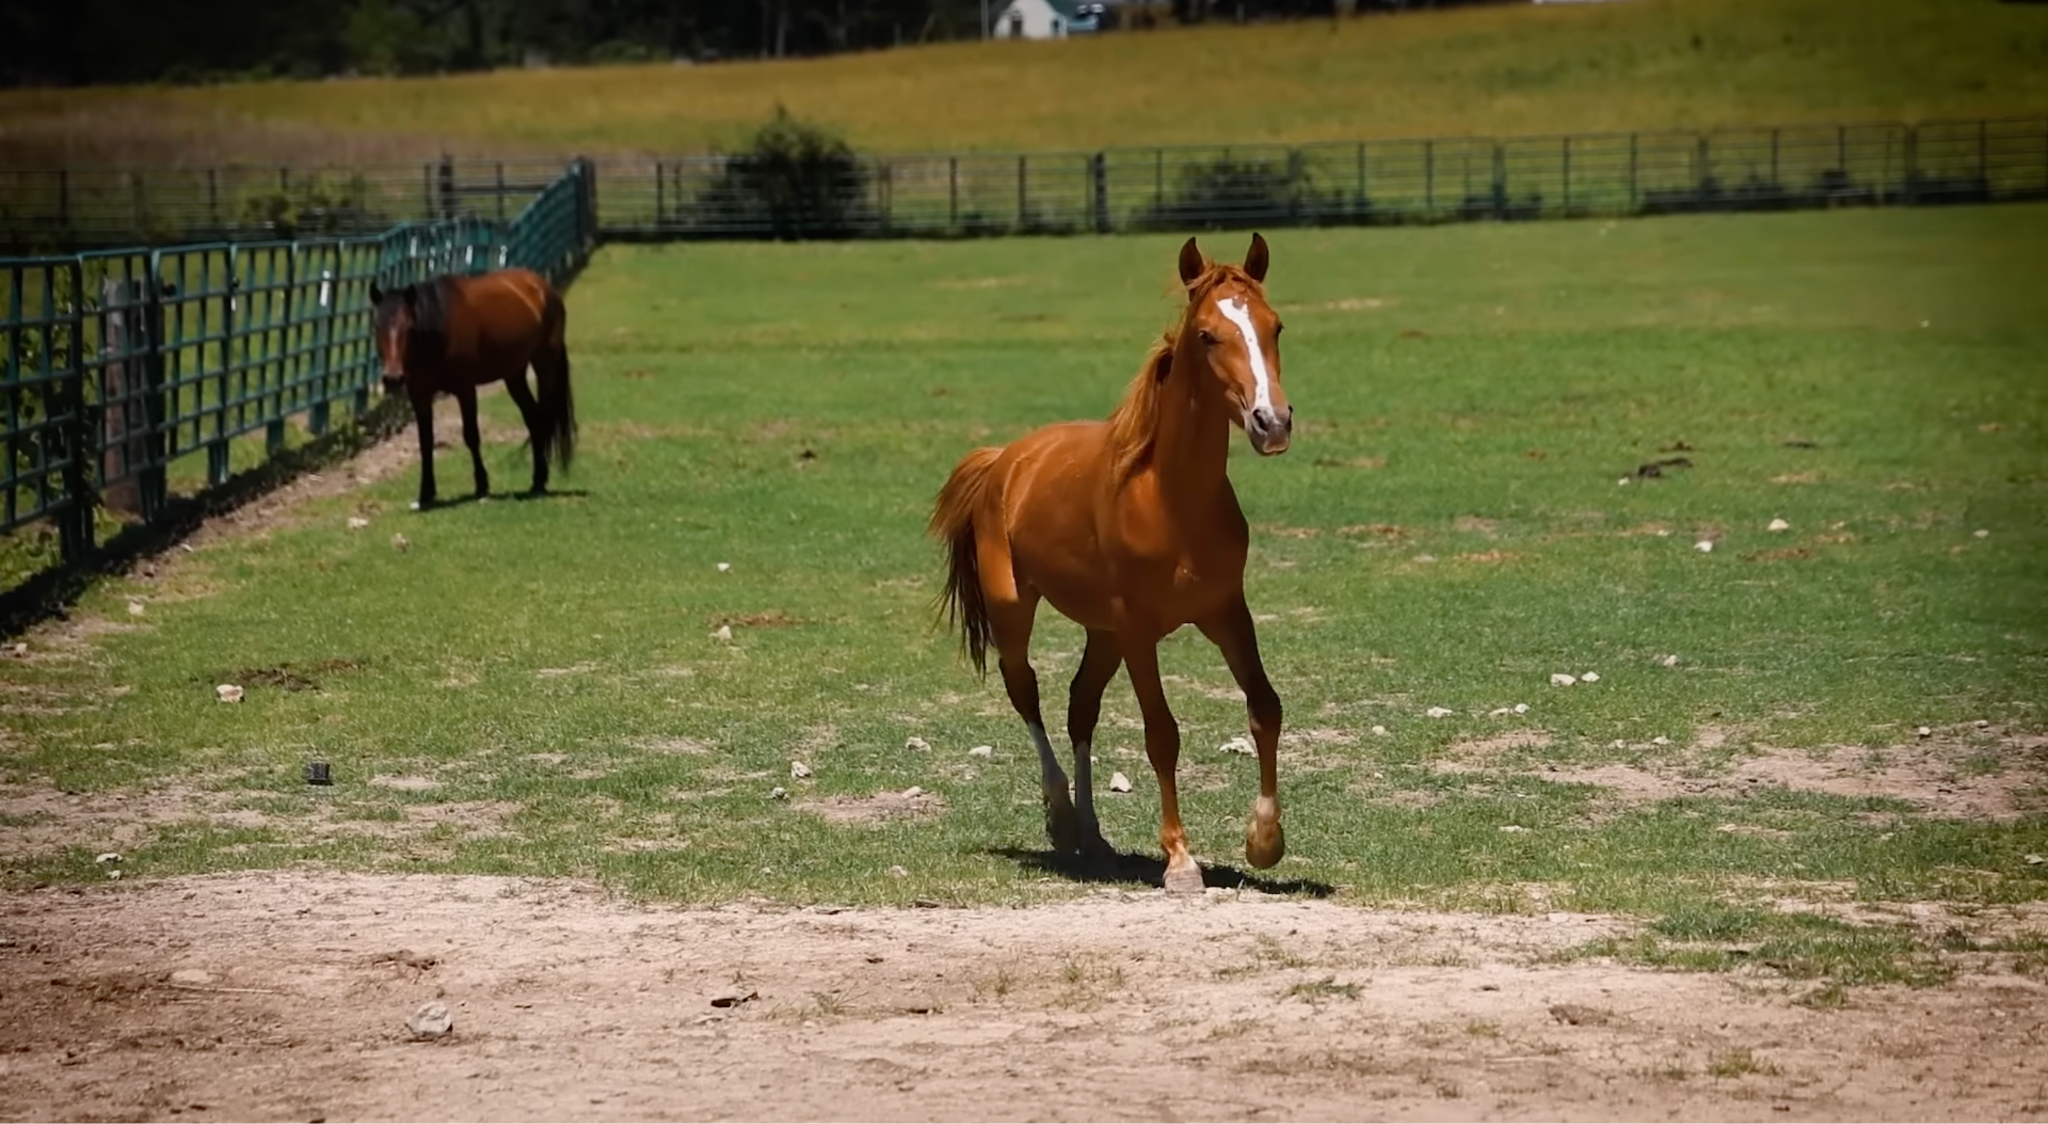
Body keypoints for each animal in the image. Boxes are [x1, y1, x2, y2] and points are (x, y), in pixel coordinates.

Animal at [369, 268, 576, 510]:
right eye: (377, 326)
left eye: (410, 327)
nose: (393, 378)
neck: (439, 331)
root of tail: (543, 287)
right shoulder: (420, 395)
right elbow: (426, 442)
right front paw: (426, 494)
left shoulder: (465, 389)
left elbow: (471, 436)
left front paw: (482, 486)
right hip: (514, 375)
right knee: (533, 419)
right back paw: (537, 481)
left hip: (545, 364)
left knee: (542, 417)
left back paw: (540, 481)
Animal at [929, 233, 1294, 893]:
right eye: (1208, 335)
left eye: (1275, 326)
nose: (1271, 422)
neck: (1170, 498)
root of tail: (1005, 459)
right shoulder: (1140, 630)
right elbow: (1162, 733)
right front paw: (1180, 860)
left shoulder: (1227, 612)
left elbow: (1265, 708)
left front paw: (1264, 841)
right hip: (1017, 612)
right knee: (1026, 692)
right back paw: (1061, 819)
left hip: (1102, 632)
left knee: (1080, 707)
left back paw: (1093, 835)